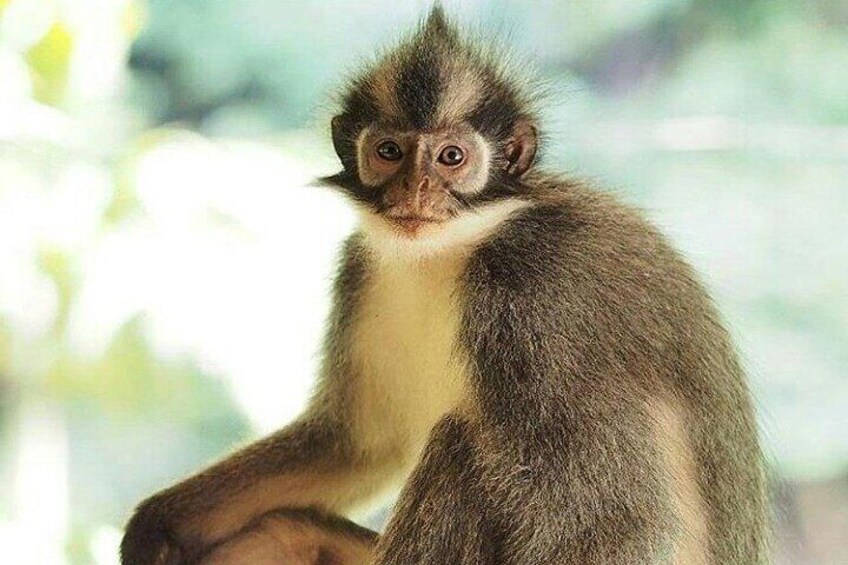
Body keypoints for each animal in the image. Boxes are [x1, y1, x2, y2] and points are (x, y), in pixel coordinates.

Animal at [120, 6, 769, 565]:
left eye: (451, 157)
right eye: (388, 152)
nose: (415, 190)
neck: (458, 246)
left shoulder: (536, 292)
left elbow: (623, 525)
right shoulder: (362, 270)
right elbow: (361, 442)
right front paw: (161, 524)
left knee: (463, 443)